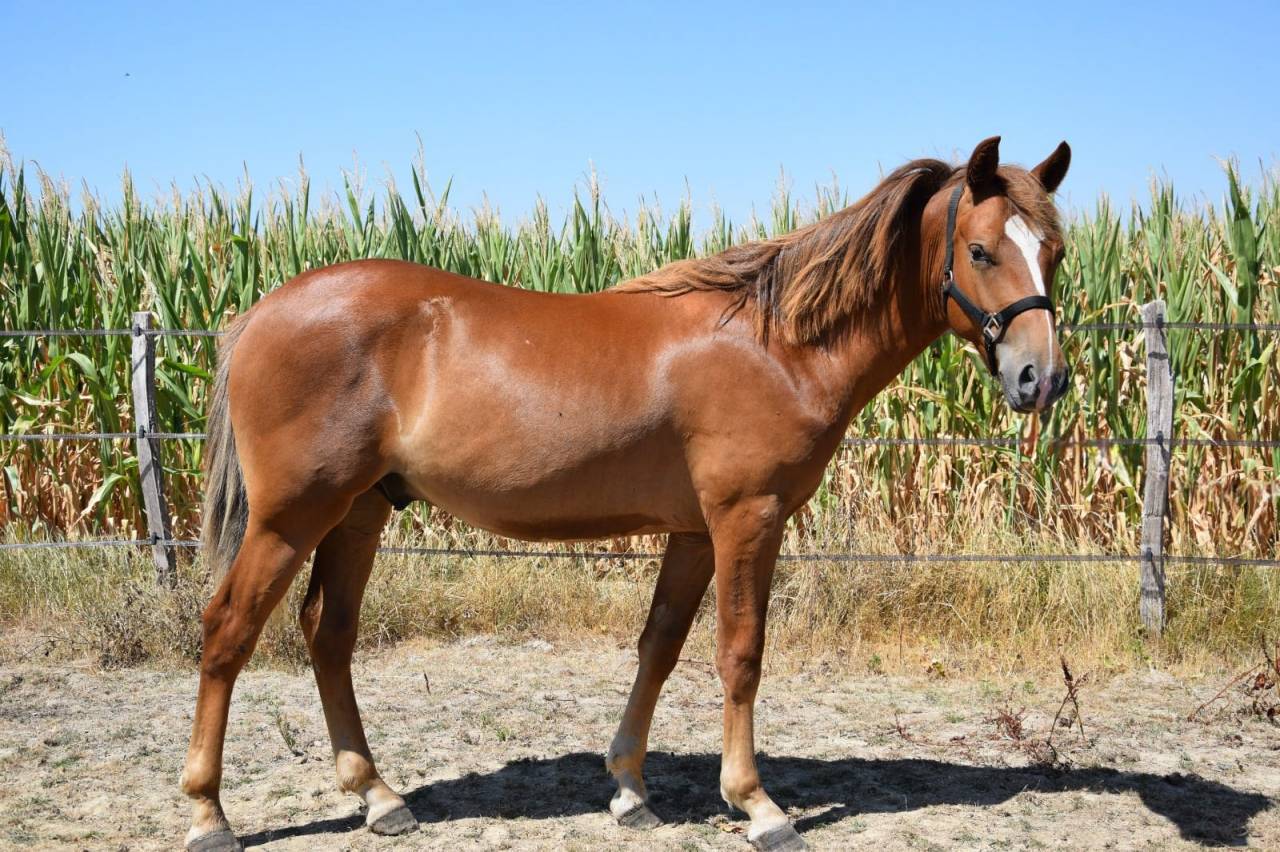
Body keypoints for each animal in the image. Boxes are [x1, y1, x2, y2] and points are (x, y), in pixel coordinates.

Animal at [181, 136, 1071, 851]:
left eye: (1055, 254)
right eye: (983, 251)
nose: (1043, 378)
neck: (776, 343)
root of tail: (257, 315)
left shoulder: (694, 531)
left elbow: (661, 646)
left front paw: (629, 790)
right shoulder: (748, 519)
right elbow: (740, 653)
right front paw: (758, 806)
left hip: (360, 512)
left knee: (327, 635)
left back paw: (379, 797)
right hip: (291, 517)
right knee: (228, 631)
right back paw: (209, 814)